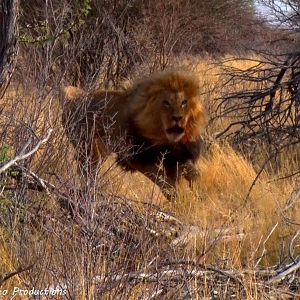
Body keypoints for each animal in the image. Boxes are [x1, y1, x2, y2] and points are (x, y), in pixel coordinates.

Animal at [61, 70, 206, 199]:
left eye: (184, 102)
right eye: (166, 103)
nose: (178, 118)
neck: (162, 136)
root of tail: (75, 96)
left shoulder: (177, 156)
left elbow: (193, 173)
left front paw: (199, 193)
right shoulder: (136, 158)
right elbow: (163, 180)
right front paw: (178, 198)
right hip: (88, 148)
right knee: (87, 171)